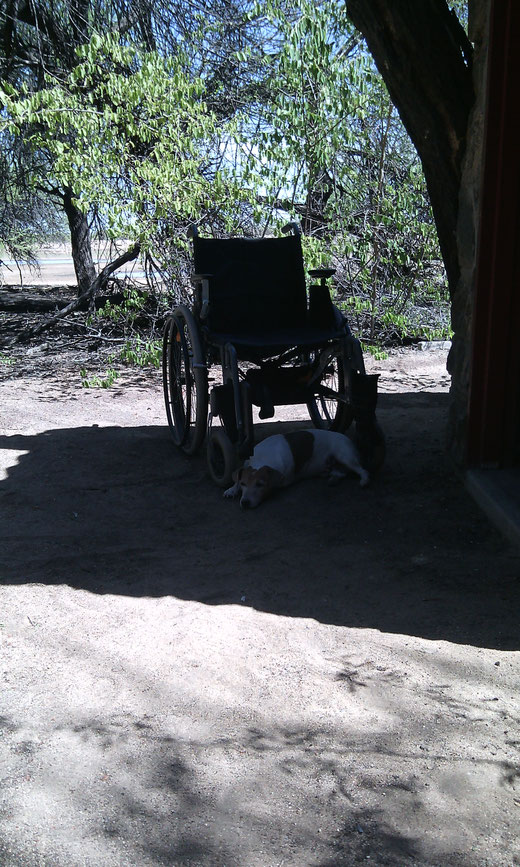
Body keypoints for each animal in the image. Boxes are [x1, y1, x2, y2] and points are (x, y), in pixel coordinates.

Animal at [224, 428, 370, 508]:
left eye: (260, 484)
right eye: (243, 483)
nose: (245, 503)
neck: (263, 458)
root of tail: (349, 440)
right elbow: (237, 478)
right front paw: (232, 489)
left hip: (345, 456)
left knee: (362, 470)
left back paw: (364, 481)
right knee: (340, 472)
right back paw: (332, 478)